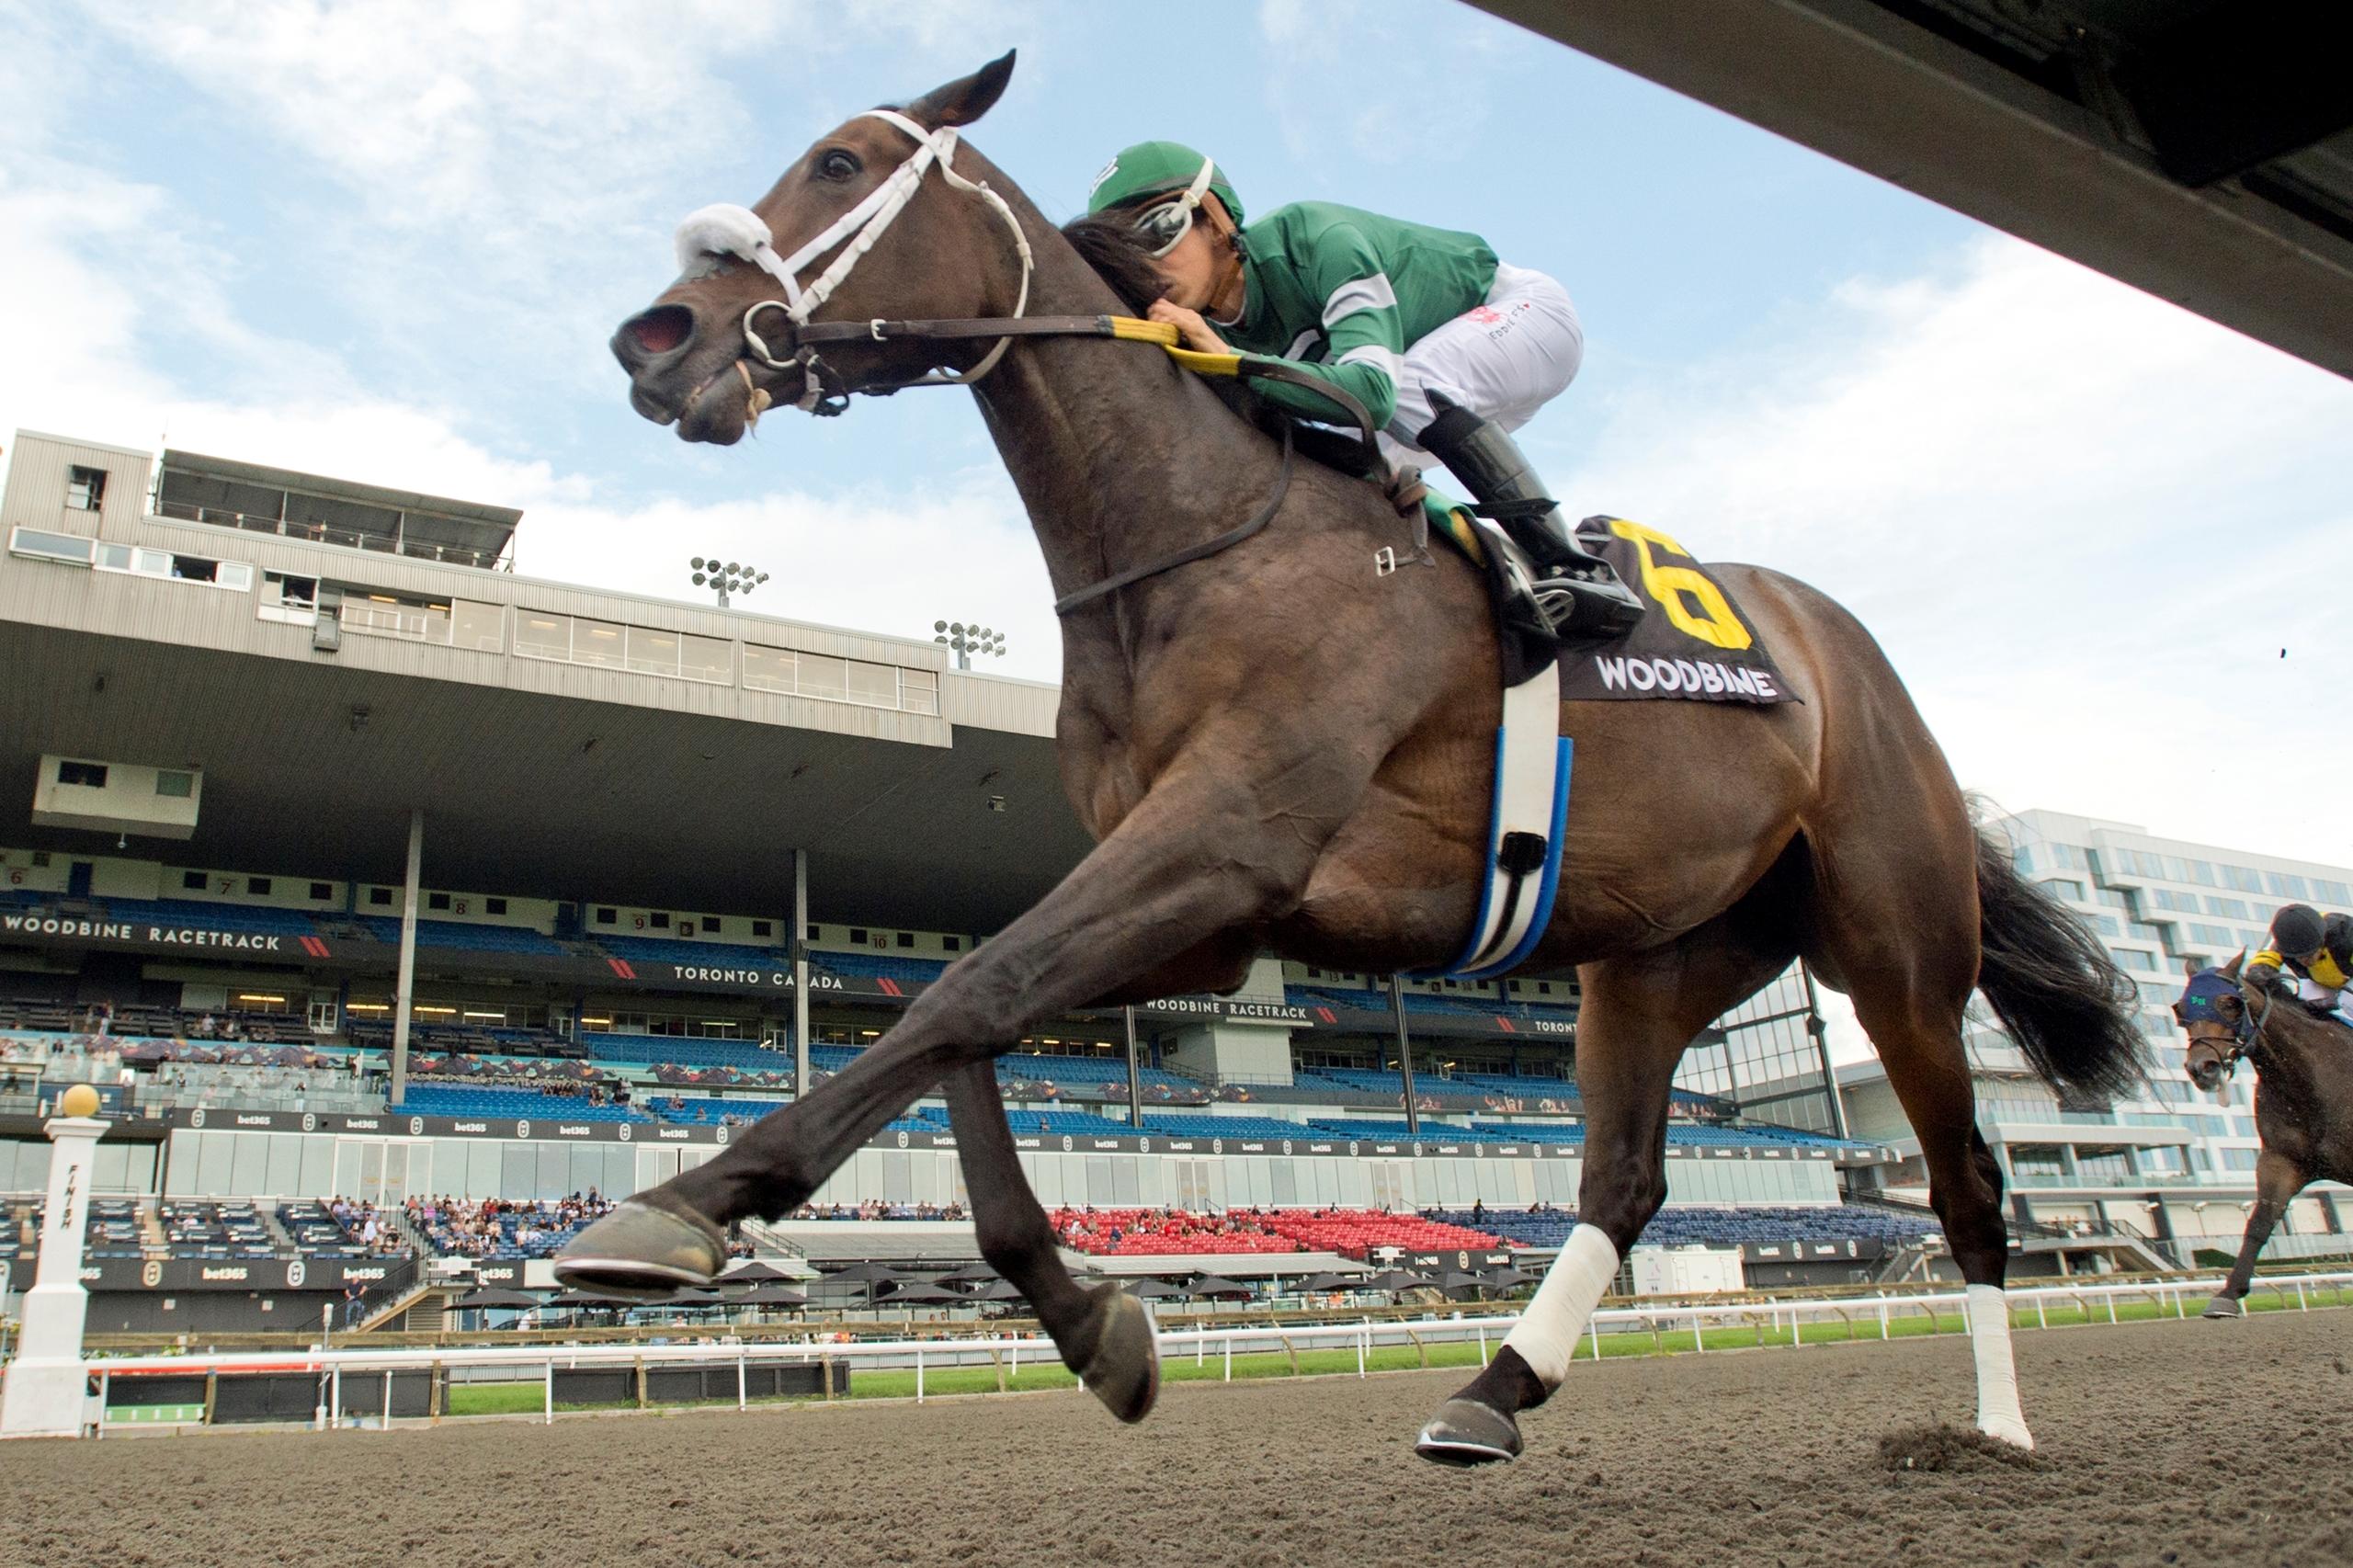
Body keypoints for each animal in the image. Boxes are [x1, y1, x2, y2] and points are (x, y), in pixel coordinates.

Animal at [557, 52, 2146, 1463]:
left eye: (838, 163)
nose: (658, 339)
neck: (1203, 536)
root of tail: (1844, 654)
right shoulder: (1205, 909)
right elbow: (969, 1017)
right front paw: (1094, 1322)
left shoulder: (1227, 840)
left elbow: (964, 989)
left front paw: (679, 1205)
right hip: (1658, 951)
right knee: (1627, 1179)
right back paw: (1492, 1393)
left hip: (1893, 939)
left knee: (1965, 1179)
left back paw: (1995, 1427)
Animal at [2173, 954, 2353, 1318]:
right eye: (2181, 1010)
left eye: (2229, 1004)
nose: (2202, 1068)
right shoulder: (2280, 1160)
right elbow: (2259, 1223)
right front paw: (2227, 1293)